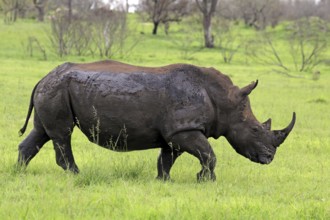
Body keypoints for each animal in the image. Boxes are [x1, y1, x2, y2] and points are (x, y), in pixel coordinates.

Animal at [18, 60, 296, 180]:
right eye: (255, 129)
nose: (269, 158)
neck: (224, 100)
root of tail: (43, 77)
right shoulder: (184, 129)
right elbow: (209, 154)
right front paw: (205, 180)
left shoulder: (176, 132)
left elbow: (167, 158)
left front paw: (163, 181)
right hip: (57, 89)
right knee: (62, 133)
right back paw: (76, 175)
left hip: (53, 89)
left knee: (43, 132)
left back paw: (18, 172)